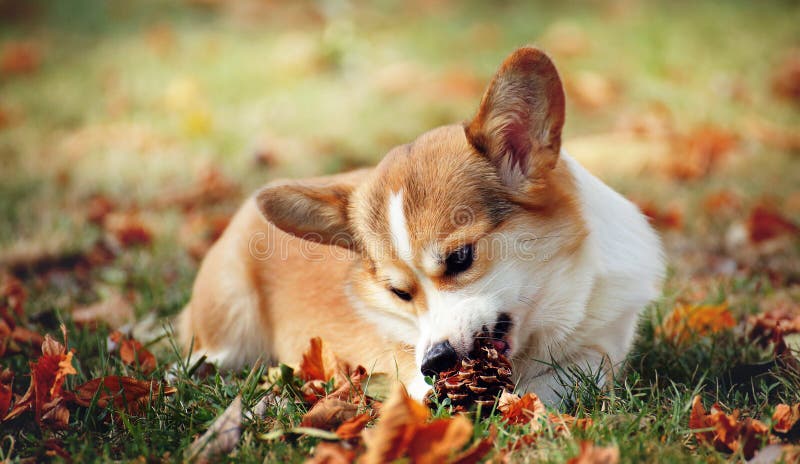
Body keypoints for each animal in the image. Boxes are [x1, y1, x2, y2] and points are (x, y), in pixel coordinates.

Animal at [178, 46, 664, 402]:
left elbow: (570, 376)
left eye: (460, 258)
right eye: (399, 293)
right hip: (228, 322)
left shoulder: (600, 345)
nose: (435, 362)